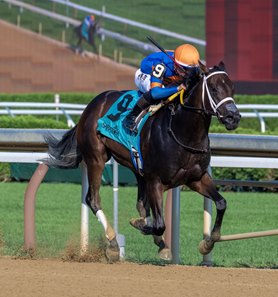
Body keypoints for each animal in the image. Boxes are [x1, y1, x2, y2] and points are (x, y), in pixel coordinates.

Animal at [43, 61, 241, 260]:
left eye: (232, 88)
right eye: (214, 88)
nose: (233, 117)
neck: (183, 133)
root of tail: (91, 105)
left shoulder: (196, 178)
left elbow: (221, 203)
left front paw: (207, 243)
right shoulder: (155, 180)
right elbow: (159, 224)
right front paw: (142, 226)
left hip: (135, 165)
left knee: (140, 203)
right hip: (96, 158)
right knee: (93, 199)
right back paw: (113, 243)